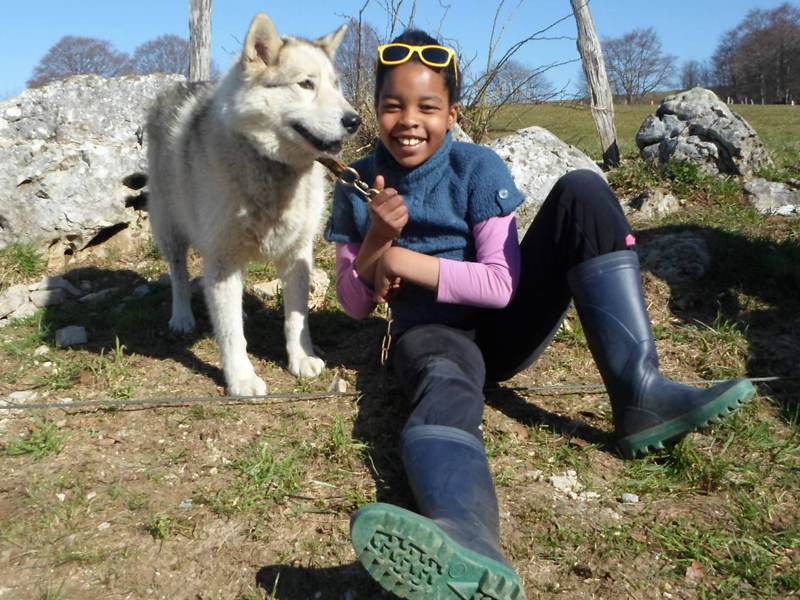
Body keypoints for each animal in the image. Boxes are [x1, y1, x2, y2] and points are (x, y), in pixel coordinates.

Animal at [145, 12, 360, 394]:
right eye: (306, 85)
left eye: (337, 86)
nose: (354, 120)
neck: (270, 166)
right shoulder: (223, 257)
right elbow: (232, 333)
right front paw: (241, 378)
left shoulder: (297, 255)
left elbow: (296, 318)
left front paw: (301, 358)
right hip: (171, 231)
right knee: (179, 276)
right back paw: (182, 317)